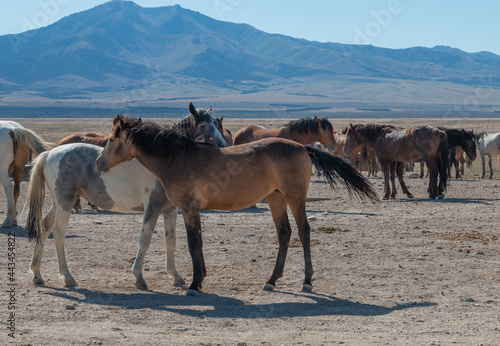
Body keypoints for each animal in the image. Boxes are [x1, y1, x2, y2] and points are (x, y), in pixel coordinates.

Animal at [25, 102, 225, 290]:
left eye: (217, 124)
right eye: (203, 126)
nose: (223, 147)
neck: (165, 162)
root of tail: (49, 153)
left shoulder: (170, 209)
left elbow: (171, 240)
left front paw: (175, 275)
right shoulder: (152, 206)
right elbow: (145, 239)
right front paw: (139, 277)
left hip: (58, 203)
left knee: (45, 227)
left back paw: (37, 274)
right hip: (65, 203)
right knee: (58, 233)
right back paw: (67, 277)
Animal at [94, 115, 378, 296]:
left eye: (111, 139)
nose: (98, 162)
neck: (178, 157)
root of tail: (302, 147)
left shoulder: (189, 208)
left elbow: (193, 244)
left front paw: (194, 285)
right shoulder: (189, 210)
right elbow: (197, 243)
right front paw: (200, 279)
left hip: (294, 197)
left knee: (303, 232)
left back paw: (306, 282)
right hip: (275, 198)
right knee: (284, 233)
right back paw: (271, 281)